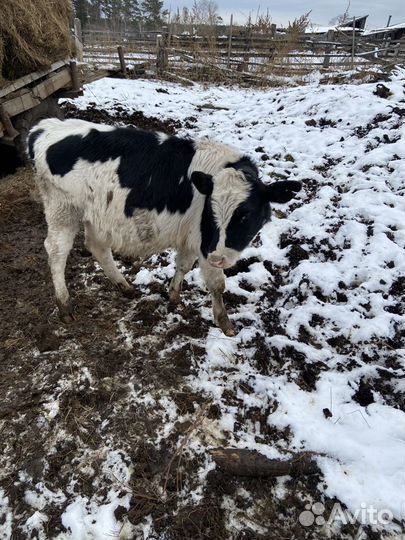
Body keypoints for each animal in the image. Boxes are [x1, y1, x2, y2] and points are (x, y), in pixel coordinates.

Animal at [28, 119, 300, 334]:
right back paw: (65, 305)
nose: (219, 258)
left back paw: (124, 286)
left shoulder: (192, 237)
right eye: (211, 212)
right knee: (56, 252)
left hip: (96, 217)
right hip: (62, 210)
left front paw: (173, 298)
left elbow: (183, 265)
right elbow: (217, 284)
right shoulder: (205, 242)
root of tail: (44, 127)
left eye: (245, 215)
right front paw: (225, 323)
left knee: (97, 247)